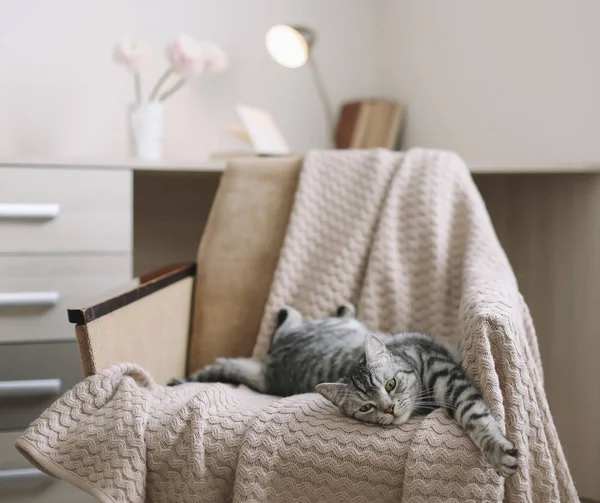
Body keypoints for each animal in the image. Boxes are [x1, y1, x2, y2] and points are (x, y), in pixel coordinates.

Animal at [169, 304, 516, 476]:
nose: (389, 408)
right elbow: (476, 415)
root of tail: (269, 372)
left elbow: (475, 415)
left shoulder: (450, 378)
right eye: (366, 407)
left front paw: (497, 449)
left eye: (390, 384)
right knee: (290, 318)